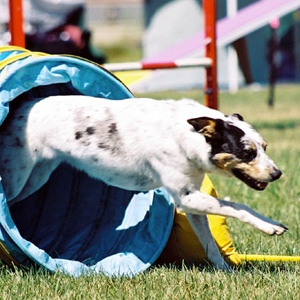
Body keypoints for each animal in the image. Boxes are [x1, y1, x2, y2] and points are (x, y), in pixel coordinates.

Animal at [0, 96, 288, 272]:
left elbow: (210, 245)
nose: (277, 174)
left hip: (37, 176)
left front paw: (225, 270)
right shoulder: (187, 198)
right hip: (19, 176)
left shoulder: (193, 200)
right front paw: (270, 226)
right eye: (247, 152)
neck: (187, 136)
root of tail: (18, 108)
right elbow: (239, 207)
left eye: (265, 147)